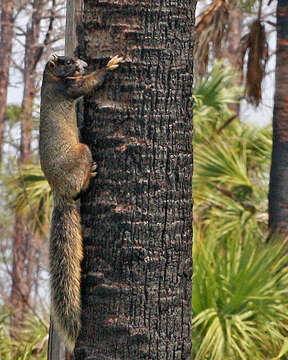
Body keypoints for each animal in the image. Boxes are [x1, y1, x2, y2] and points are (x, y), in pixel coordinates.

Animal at [39, 54, 121, 352]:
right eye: (65, 61)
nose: (84, 63)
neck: (49, 80)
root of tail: (60, 191)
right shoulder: (69, 89)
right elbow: (87, 85)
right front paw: (109, 66)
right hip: (82, 151)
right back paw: (90, 175)